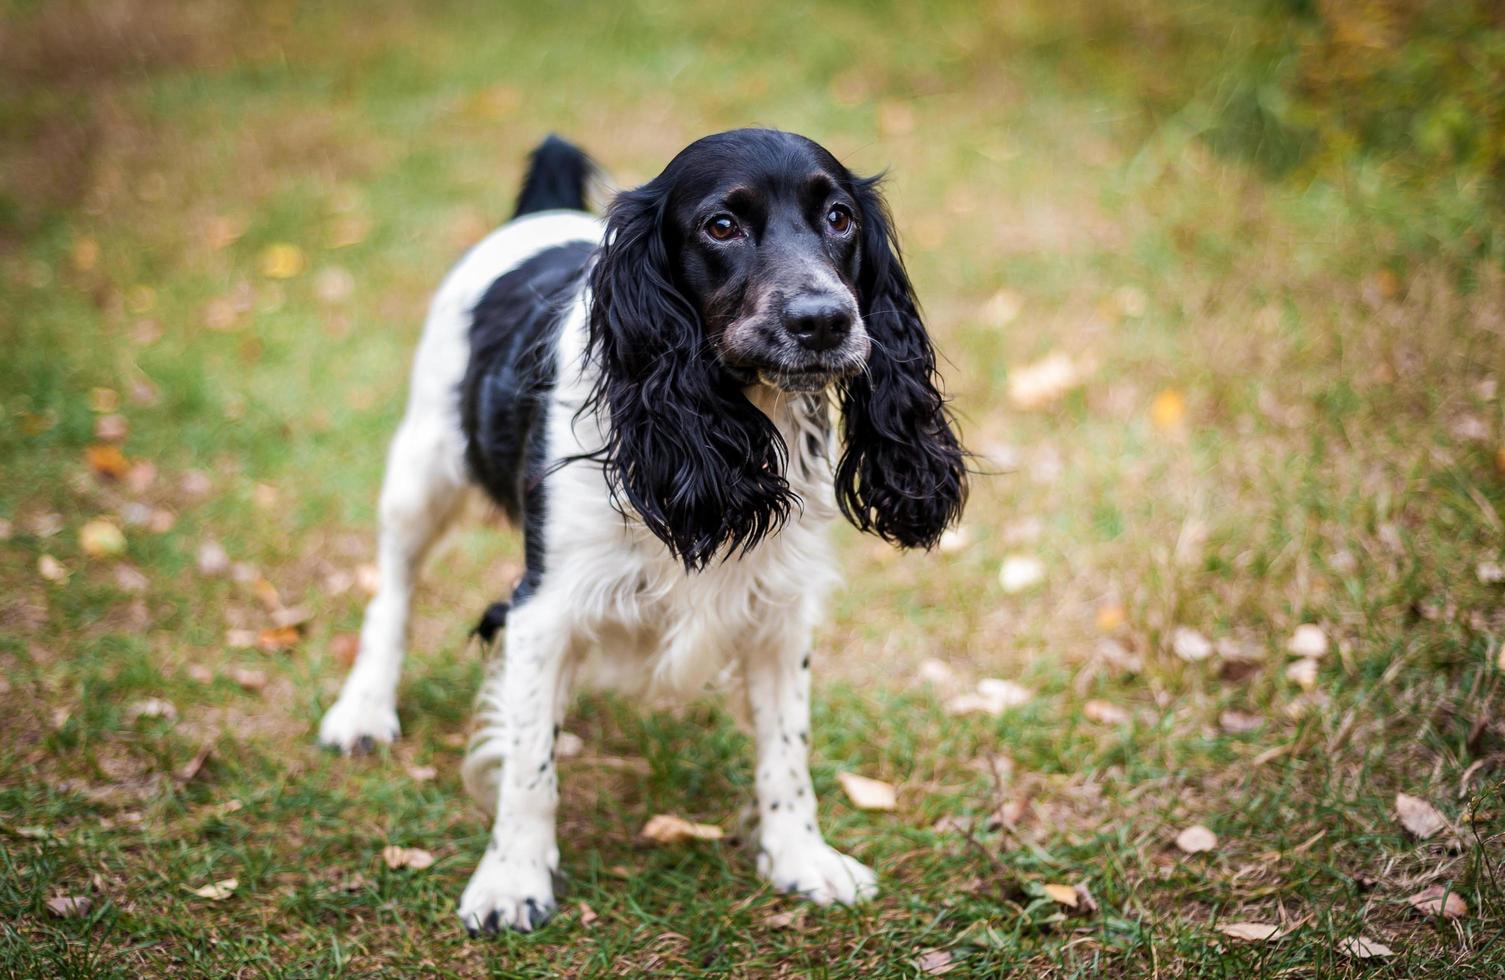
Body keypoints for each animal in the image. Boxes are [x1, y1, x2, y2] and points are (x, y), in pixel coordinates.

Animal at [322, 130, 969, 933]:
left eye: (840, 217)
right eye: (721, 225)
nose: (824, 320)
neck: (720, 420)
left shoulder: (780, 607)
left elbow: (786, 751)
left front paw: (801, 858)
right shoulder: (544, 606)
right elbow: (529, 766)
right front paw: (511, 880)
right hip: (421, 472)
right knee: (393, 593)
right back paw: (363, 709)